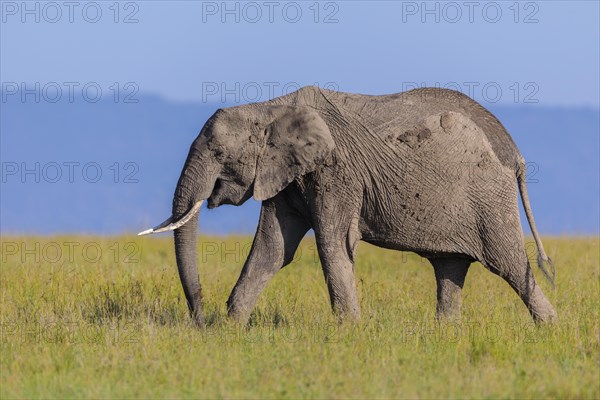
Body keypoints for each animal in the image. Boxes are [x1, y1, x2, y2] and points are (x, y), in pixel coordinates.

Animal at [137, 86, 556, 326]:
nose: (199, 319)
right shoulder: (287, 176)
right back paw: (446, 335)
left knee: (509, 264)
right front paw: (232, 328)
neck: (271, 109)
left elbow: (332, 244)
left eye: (220, 154)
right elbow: (273, 249)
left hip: (488, 197)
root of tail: (513, 151)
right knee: (450, 269)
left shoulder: (336, 171)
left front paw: (349, 332)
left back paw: (549, 330)